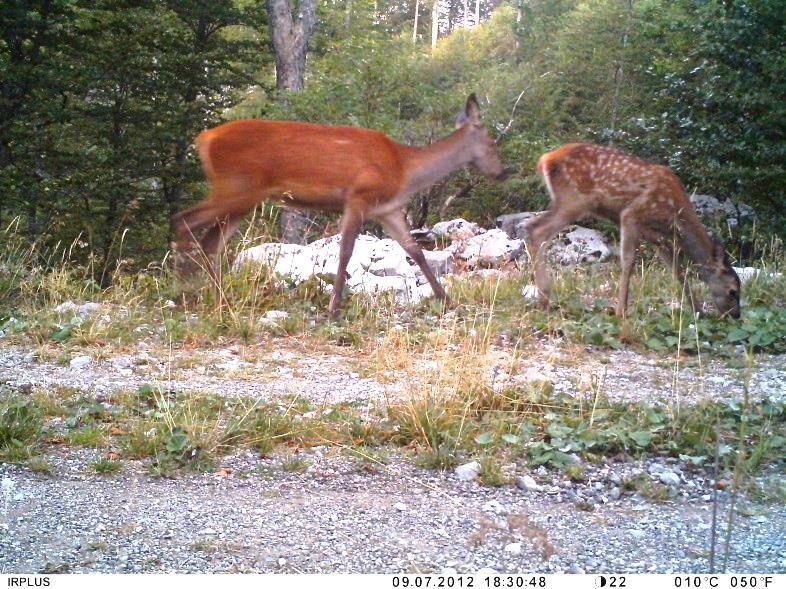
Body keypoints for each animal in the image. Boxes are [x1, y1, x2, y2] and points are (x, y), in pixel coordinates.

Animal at [172, 94, 502, 314]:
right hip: (236, 188)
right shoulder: (358, 196)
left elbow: (415, 251)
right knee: (184, 220)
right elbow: (345, 252)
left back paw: (220, 299)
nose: (503, 171)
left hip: (240, 198)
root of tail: (205, 138)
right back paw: (182, 290)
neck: (405, 169)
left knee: (210, 242)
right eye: (492, 143)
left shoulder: (388, 209)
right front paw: (333, 307)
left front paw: (447, 300)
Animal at [524, 144, 740, 316]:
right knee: (537, 231)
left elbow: (677, 269)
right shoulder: (632, 215)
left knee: (533, 228)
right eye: (733, 291)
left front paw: (698, 310)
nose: (735, 315)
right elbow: (628, 261)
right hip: (574, 200)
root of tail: (546, 158)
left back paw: (543, 299)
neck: (675, 213)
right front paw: (621, 311)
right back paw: (545, 298)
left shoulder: (656, 236)